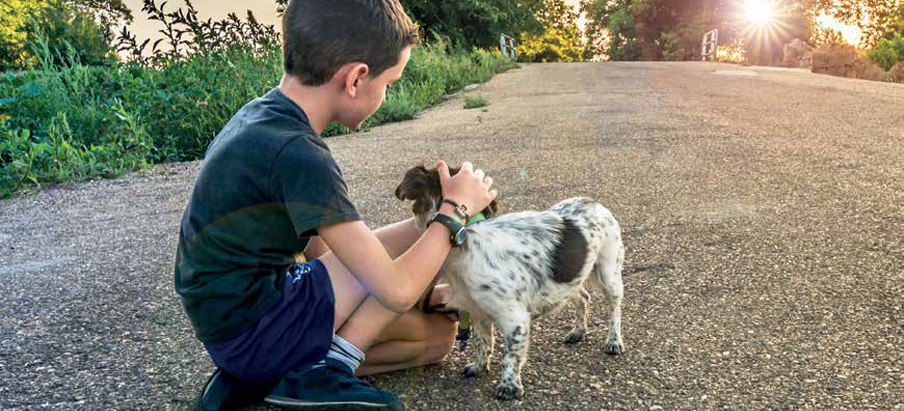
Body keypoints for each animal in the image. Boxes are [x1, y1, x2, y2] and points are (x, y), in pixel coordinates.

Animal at [396, 166, 628, 400]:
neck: (465, 237)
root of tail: (592, 201)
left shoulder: (515, 319)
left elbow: (510, 354)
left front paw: (509, 385)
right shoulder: (477, 311)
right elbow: (482, 341)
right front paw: (479, 366)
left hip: (609, 275)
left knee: (615, 311)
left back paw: (614, 341)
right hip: (569, 279)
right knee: (583, 298)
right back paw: (578, 332)